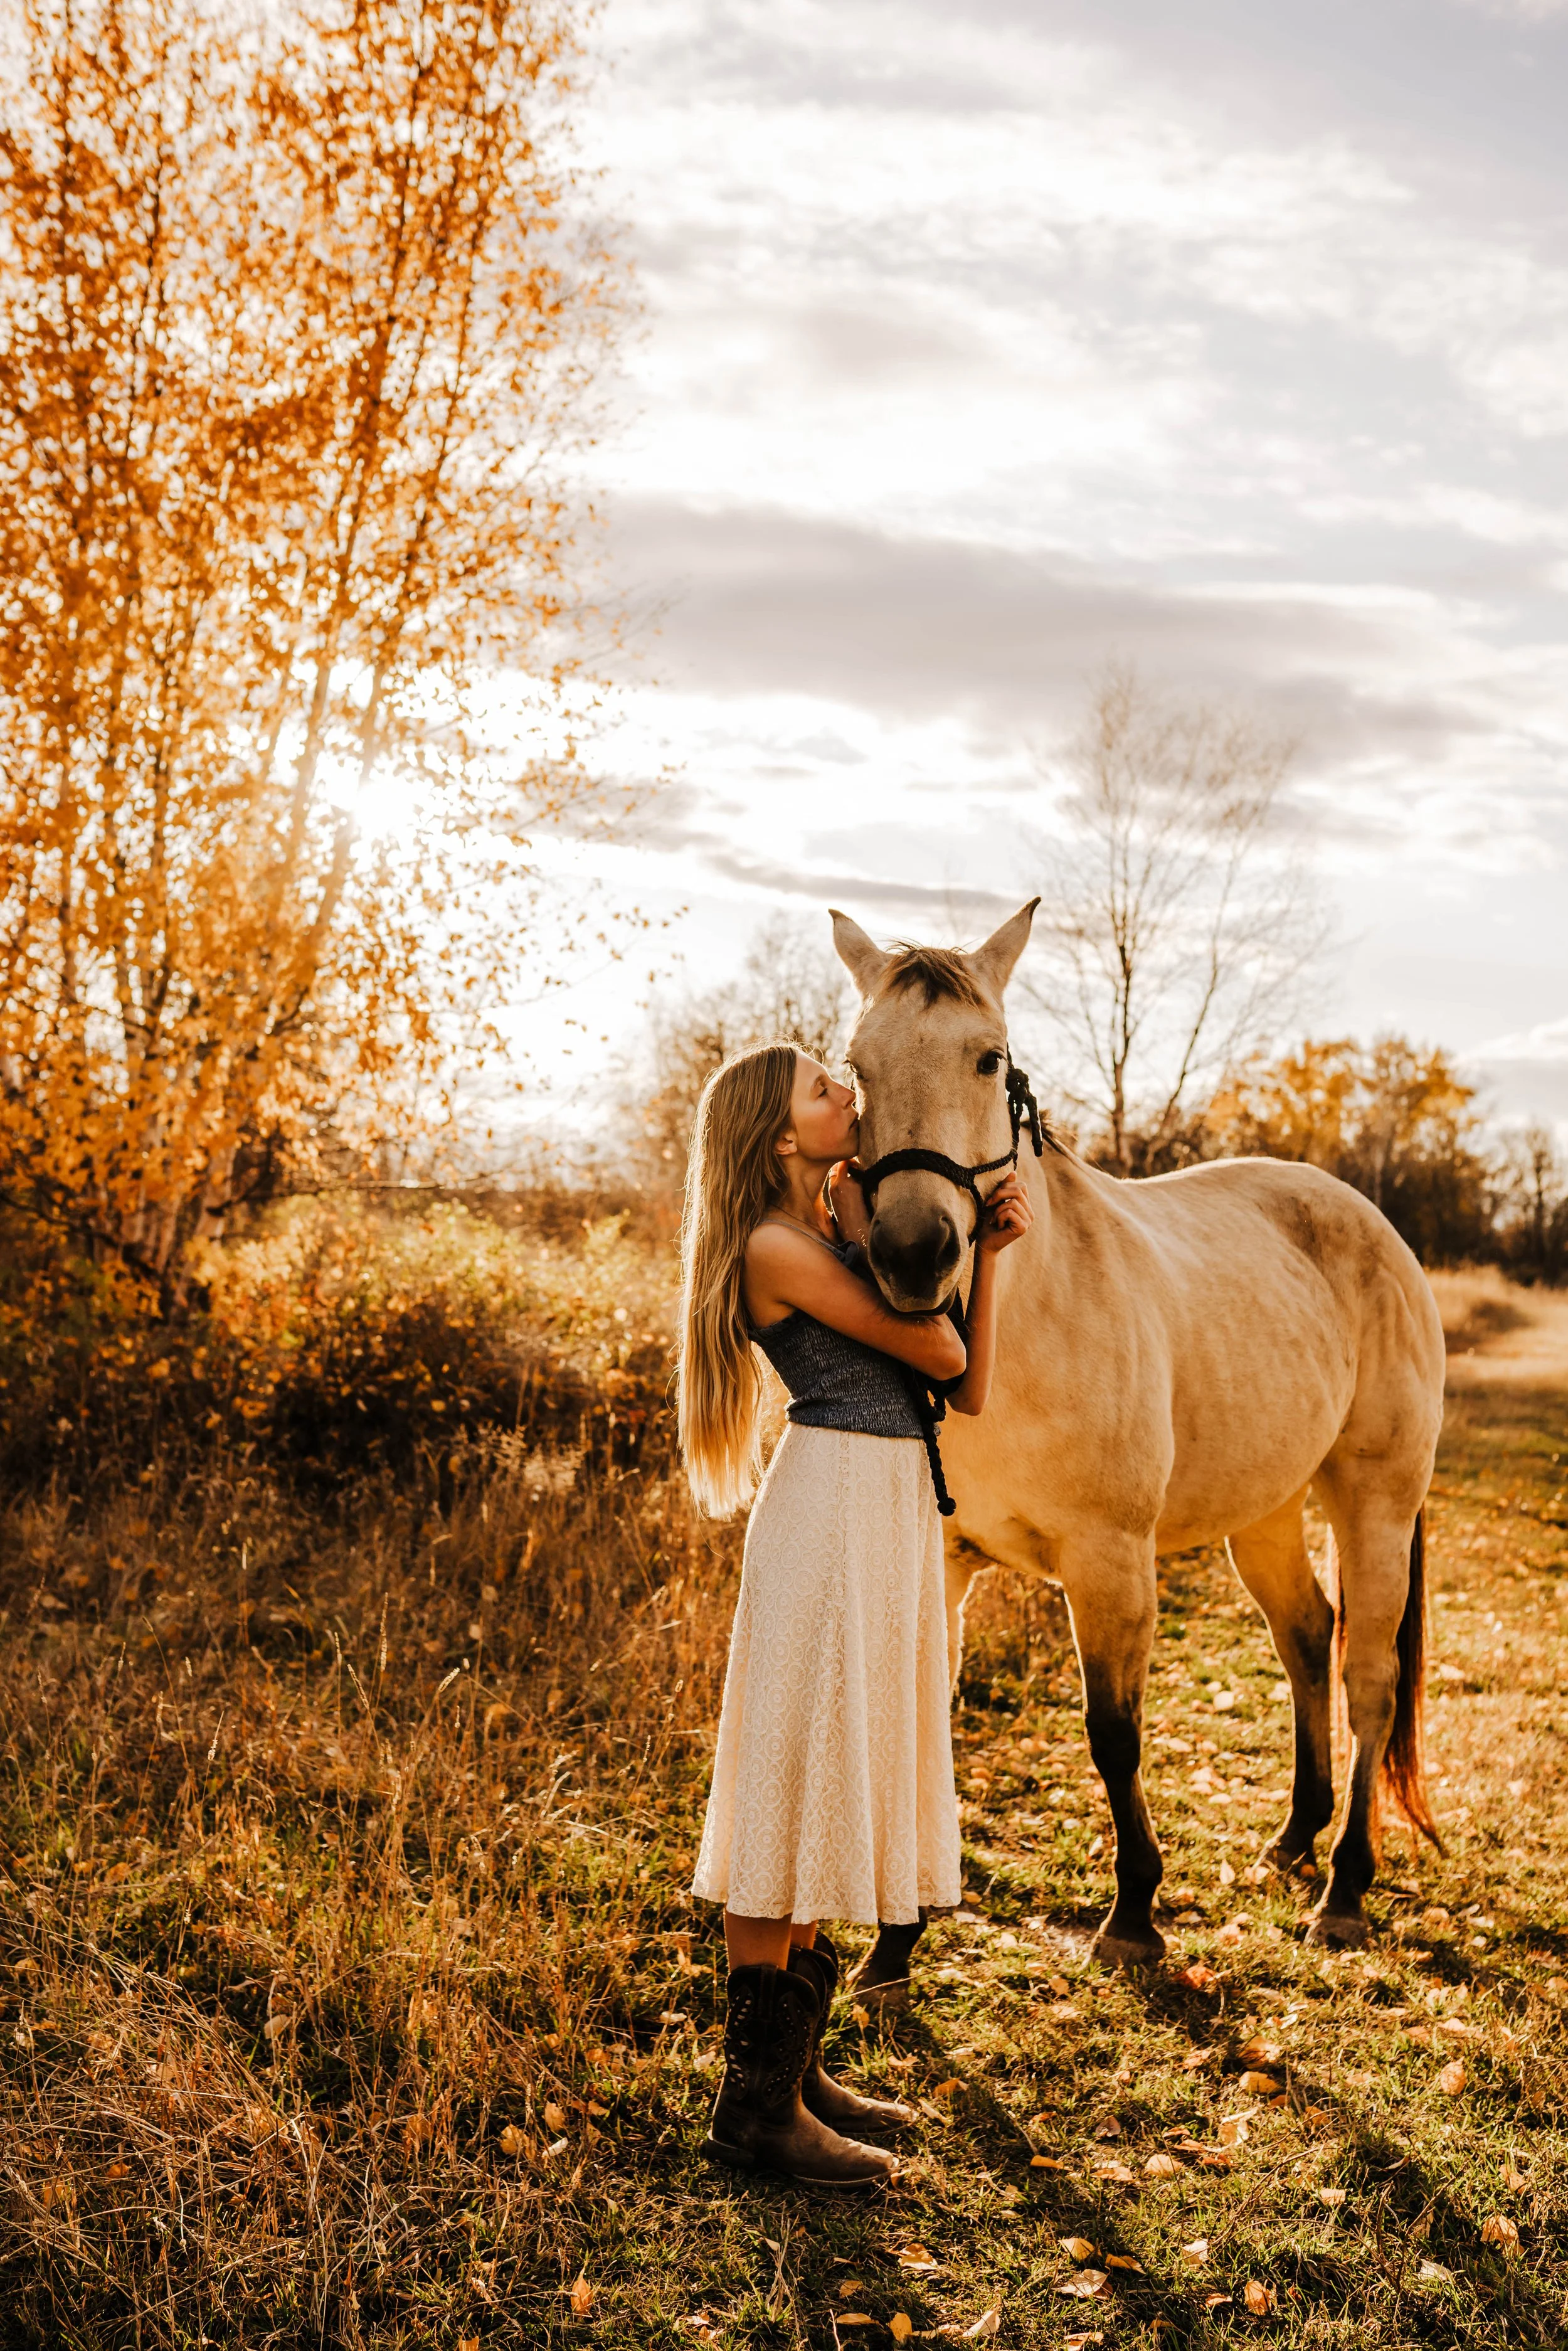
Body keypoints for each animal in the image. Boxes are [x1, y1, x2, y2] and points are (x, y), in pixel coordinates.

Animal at [829, 899, 1445, 1984]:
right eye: (858, 1066)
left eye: (988, 1059)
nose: (913, 1255)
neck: (1017, 1330)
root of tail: (1379, 1231)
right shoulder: (942, 1559)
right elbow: (921, 1722)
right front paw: (896, 1943)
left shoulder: (1110, 1565)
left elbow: (1114, 1734)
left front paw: (1133, 1917)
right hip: (1267, 1515)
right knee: (1307, 1638)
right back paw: (1296, 1836)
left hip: (1375, 1504)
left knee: (1368, 1677)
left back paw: (1344, 1889)